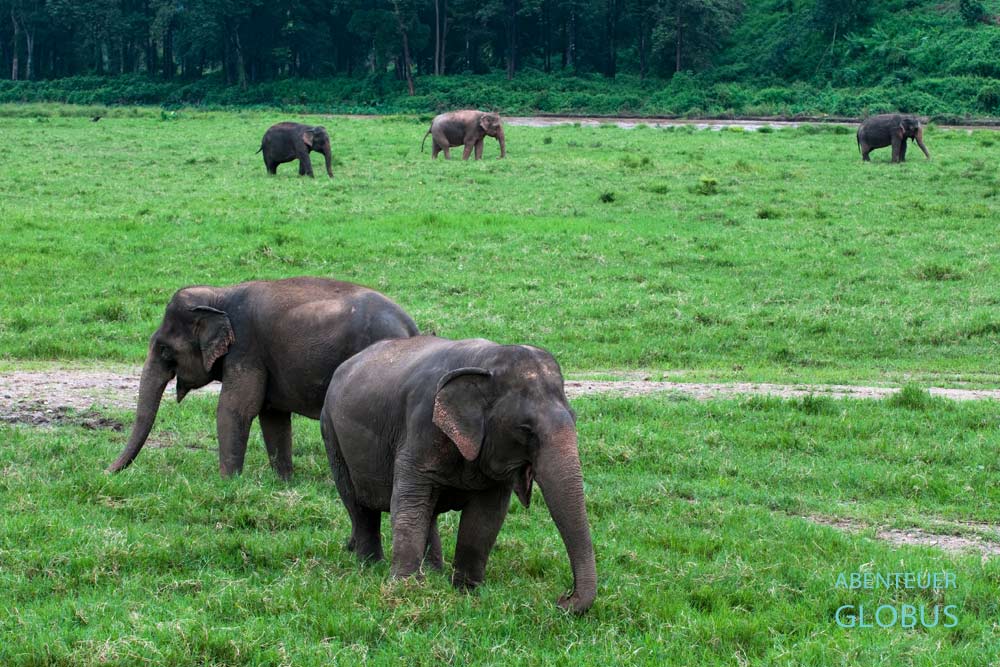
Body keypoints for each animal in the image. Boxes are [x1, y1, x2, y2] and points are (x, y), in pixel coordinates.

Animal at [107, 277, 419, 479]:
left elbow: (235, 409)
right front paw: (284, 481)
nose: (106, 472)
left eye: (164, 349)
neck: (219, 295)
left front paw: (227, 482)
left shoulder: (246, 349)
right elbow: (273, 416)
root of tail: (410, 327)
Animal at [319, 336, 596, 614]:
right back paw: (371, 566)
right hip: (332, 435)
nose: (563, 599)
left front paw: (467, 591)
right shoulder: (420, 428)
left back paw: (433, 572)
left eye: (574, 418)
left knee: (427, 512)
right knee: (358, 505)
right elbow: (409, 503)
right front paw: (405, 588)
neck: (485, 360)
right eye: (526, 429)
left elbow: (486, 517)